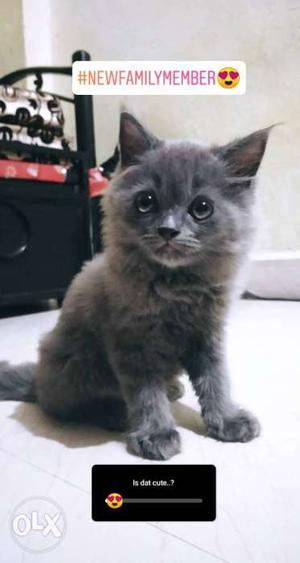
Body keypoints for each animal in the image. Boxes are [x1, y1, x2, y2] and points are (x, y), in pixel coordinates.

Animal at [0, 112, 270, 460]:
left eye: (202, 208)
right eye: (146, 202)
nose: (168, 230)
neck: (175, 287)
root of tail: (38, 381)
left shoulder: (208, 335)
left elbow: (216, 381)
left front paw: (227, 419)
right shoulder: (133, 343)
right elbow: (146, 395)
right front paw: (156, 434)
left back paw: (172, 388)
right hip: (75, 364)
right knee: (70, 408)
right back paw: (116, 414)